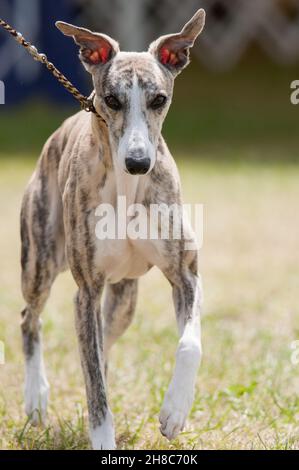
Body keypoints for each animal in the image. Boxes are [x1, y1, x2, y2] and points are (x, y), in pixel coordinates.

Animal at [19, 9, 206, 450]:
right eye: (112, 100)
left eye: (159, 99)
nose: (138, 162)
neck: (127, 190)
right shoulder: (86, 292)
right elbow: (95, 387)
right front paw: (103, 438)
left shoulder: (185, 273)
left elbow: (190, 344)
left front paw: (175, 411)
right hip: (40, 261)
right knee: (29, 319)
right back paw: (36, 397)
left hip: (123, 301)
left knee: (103, 343)